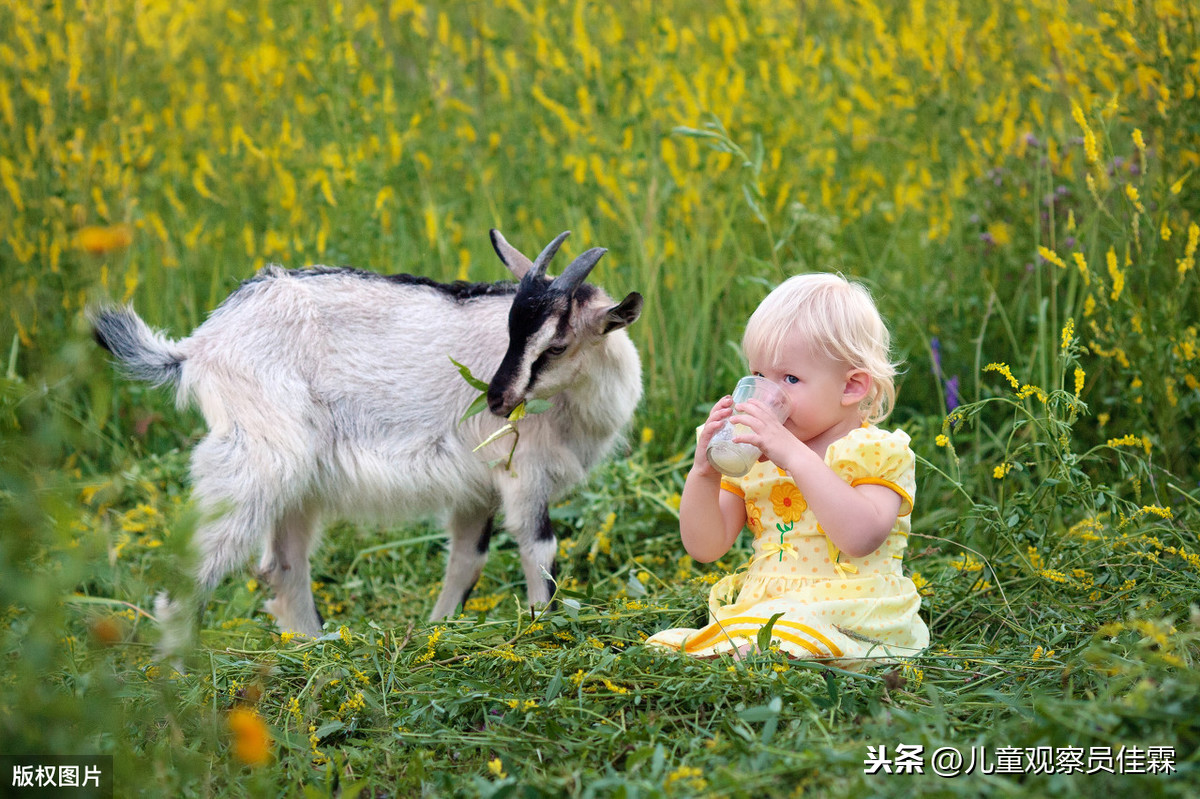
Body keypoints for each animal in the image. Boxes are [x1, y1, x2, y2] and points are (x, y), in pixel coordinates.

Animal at [91, 229, 648, 633]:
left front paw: (437, 630)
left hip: (295, 481)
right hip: (254, 459)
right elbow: (539, 551)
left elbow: (467, 560)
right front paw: (540, 630)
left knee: (283, 567)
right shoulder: (521, 471)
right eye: (513, 331)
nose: (496, 400)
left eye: (556, 345)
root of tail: (195, 347)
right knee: (190, 579)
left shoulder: (475, 488)